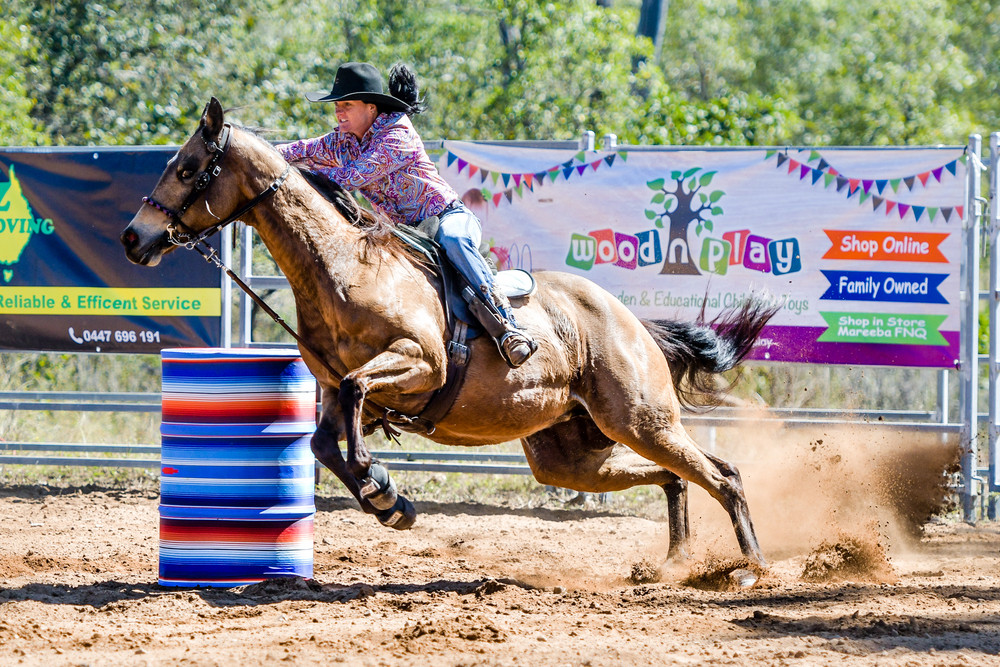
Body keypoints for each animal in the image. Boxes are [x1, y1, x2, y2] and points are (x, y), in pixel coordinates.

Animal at [121, 98, 780, 576]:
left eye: (187, 168)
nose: (134, 237)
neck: (344, 266)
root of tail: (632, 324)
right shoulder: (329, 387)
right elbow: (324, 443)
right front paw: (389, 500)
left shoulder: (420, 364)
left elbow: (358, 401)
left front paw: (379, 486)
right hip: (573, 455)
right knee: (675, 477)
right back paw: (674, 565)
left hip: (641, 419)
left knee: (724, 475)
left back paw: (749, 569)